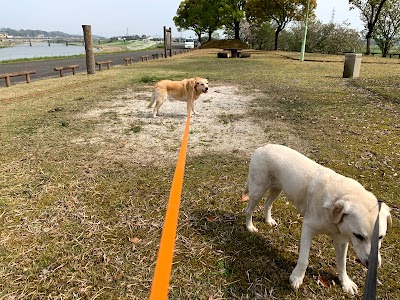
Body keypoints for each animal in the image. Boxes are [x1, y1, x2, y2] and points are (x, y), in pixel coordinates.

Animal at [242, 144, 392, 294]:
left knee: (267, 204)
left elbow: (342, 264)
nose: (373, 264)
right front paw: (297, 278)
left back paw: (268, 220)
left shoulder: (341, 240)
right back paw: (250, 227)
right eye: (358, 236)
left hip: (276, 189)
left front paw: (346, 282)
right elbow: (304, 260)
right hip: (258, 191)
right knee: (249, 209)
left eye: (380, 237)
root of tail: (263, 147)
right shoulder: (308, 228)